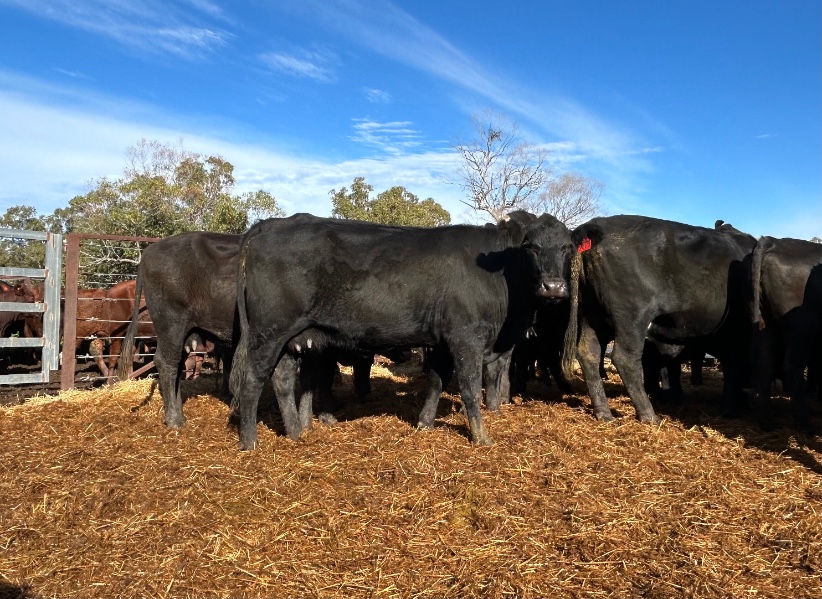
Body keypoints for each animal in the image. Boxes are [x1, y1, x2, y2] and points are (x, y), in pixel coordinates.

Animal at [229, 212, 574, 449]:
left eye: (568, 247)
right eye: (529, 246)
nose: (554, 287)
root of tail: (272, 223)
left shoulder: (441, 342)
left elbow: (436, 381)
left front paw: (425, 424)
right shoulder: (467, 338)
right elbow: (471, 388)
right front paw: (481, 437)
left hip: (290, 338)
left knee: (283, 380)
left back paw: (295, 433)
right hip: (268, 333)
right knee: (252, 381)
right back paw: (250, 442)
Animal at [561, 215, 756, 425]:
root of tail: (596, 223)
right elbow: (733, 369)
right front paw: (732, 408)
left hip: (591, 316)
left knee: (589, 354)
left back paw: (604, 413)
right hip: (632, 316)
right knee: (625, 359)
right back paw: (649, 415)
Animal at [750, 236, 822, 431]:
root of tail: (774, 241)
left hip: (765, 326)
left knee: (764, 367)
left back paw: (767, 420)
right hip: (801, 328)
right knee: (791, 369)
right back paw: (805, 424)